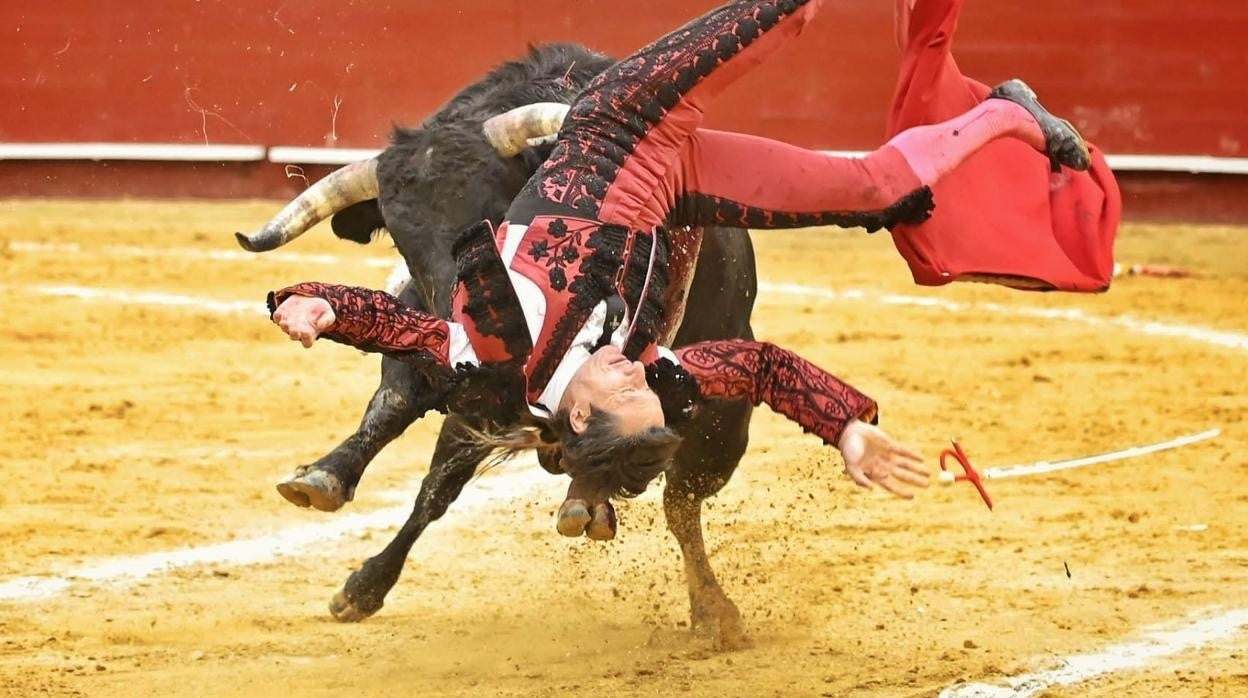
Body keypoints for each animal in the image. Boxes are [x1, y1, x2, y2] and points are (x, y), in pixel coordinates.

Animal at [235, 42, 758, 644]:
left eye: (493, 211)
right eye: (402, 237)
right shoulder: (450, 367)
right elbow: (403, 421)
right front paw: (326, 482)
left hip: (723, 425)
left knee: (681, 503)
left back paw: (704, 604)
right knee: (443, 482)